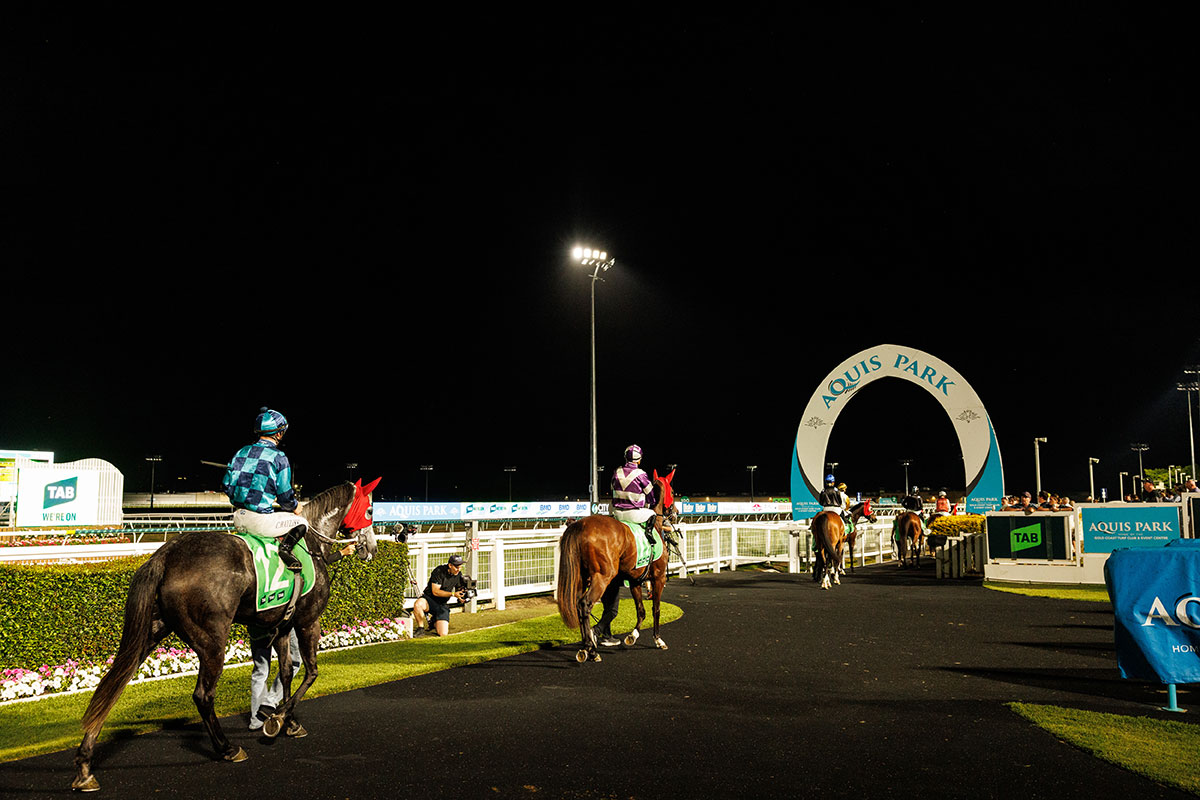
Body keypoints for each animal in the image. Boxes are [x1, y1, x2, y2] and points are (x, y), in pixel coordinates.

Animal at [71, 479, 379, 791]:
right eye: (369, 510)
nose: (371, 548)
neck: (313, 547)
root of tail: (165, 555)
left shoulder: (281, 624)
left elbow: (285, 674)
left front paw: (290, 723)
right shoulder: (307, 621)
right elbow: (312, 672)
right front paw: (277, 721)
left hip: (152, 630)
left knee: (114, 685)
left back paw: (85, 767)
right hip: (212, 641)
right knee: (202, 695)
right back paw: (228, 748)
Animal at [554, 474, 676, 662]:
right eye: (673, 490)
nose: (675, 511)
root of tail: (579, 525)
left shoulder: (635, 580)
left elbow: (641, 610)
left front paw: (632, 635)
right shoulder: (659, 577)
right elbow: (656, 609)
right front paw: (658, 640)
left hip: (581, 577)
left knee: (577, 605)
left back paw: (586, 648)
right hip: (602, 576)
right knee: (585, 604)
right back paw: (591, 650)